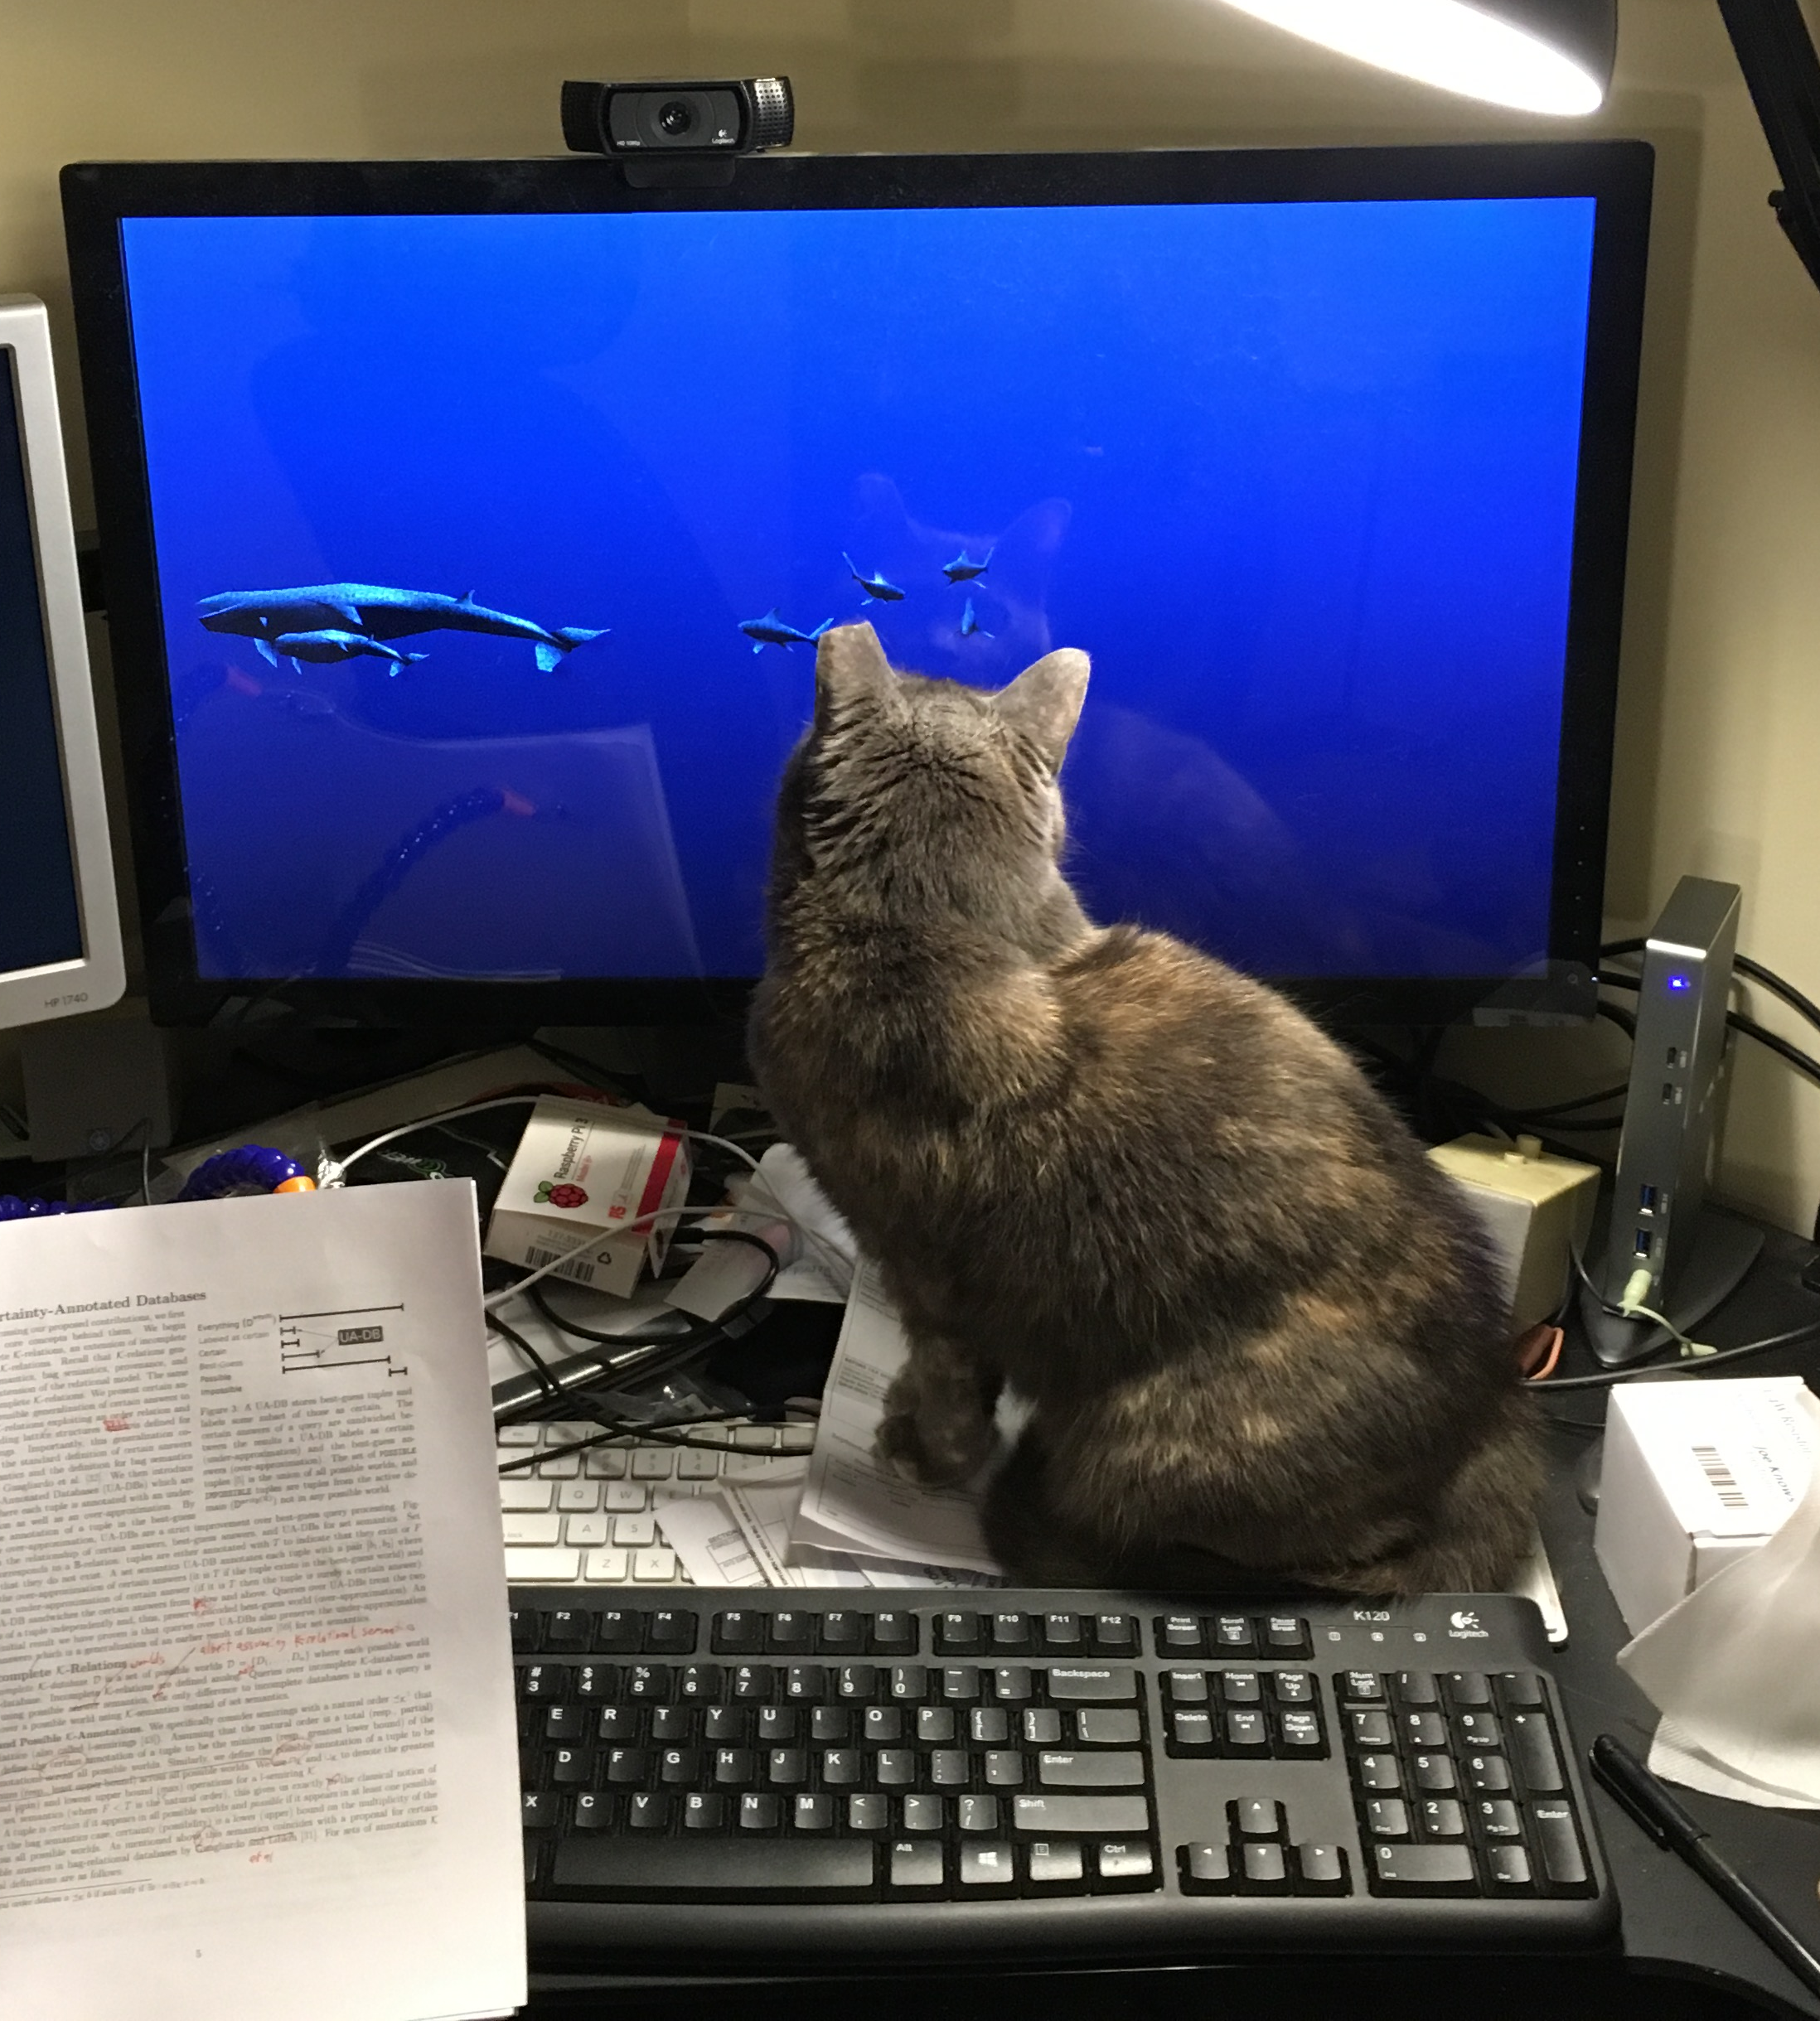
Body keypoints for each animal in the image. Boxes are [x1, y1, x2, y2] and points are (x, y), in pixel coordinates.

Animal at [748, 621, 1540, 1596]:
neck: (938, 918)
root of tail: (1493, 1415)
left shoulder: (915, 1268)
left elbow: (946, 1384)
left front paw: (920, 1449)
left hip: (1141, 1444)